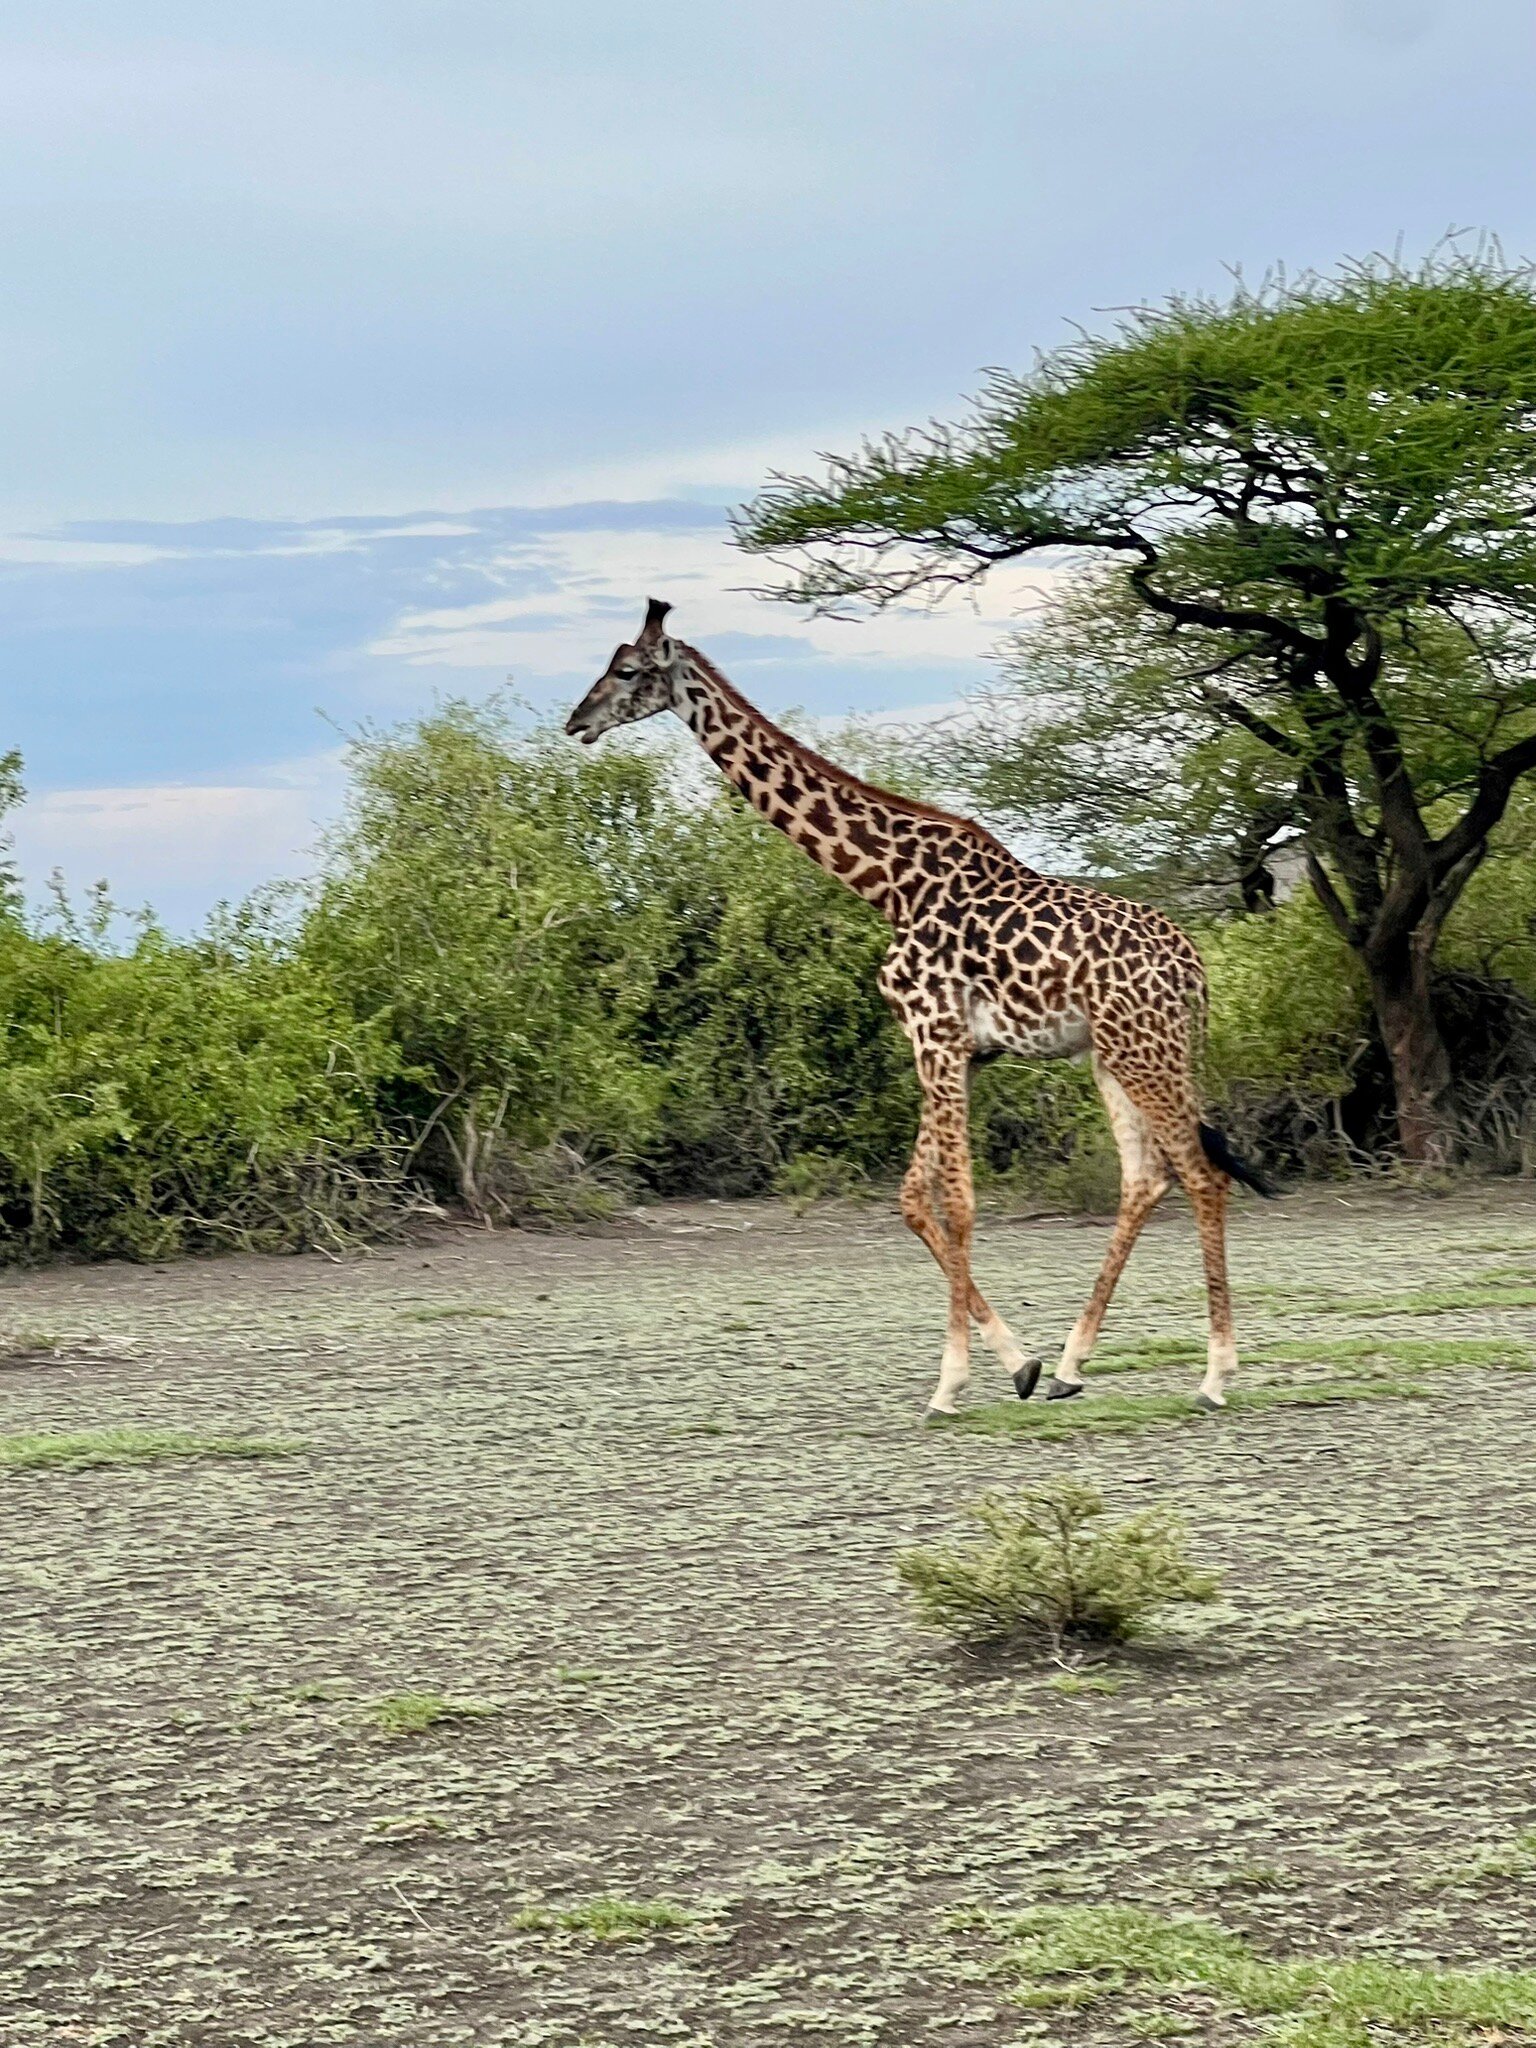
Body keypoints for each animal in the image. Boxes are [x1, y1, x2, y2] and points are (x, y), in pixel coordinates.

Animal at [566, 600, 1272, 1419]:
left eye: (627, 671)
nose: (576, 721)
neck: (889, 884)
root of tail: (1194, 966)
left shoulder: (934, 1034)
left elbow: (957, 1204)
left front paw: (950, 1383)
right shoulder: (957, 1048)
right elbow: (911, 1199)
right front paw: (1019, 1364)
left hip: (1143, 1049)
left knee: (1200, 1176)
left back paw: (1215, 1376)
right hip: (1113, 1055)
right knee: (1145, 1179)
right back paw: (1071, 1365)